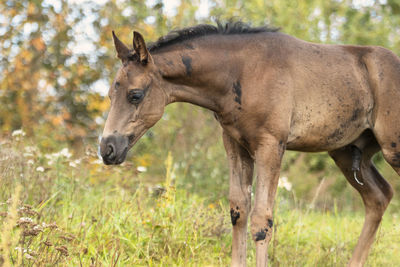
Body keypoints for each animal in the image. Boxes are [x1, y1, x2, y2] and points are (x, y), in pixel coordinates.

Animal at [99, 21, 400, 267]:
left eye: (135, 95)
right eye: (110, 95)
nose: (107, 149)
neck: (241, 72)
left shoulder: (271, 145)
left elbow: (261, 219)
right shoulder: (235, 144)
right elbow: (239, 211)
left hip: (391, 148)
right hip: (346, 152)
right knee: (379, 196)